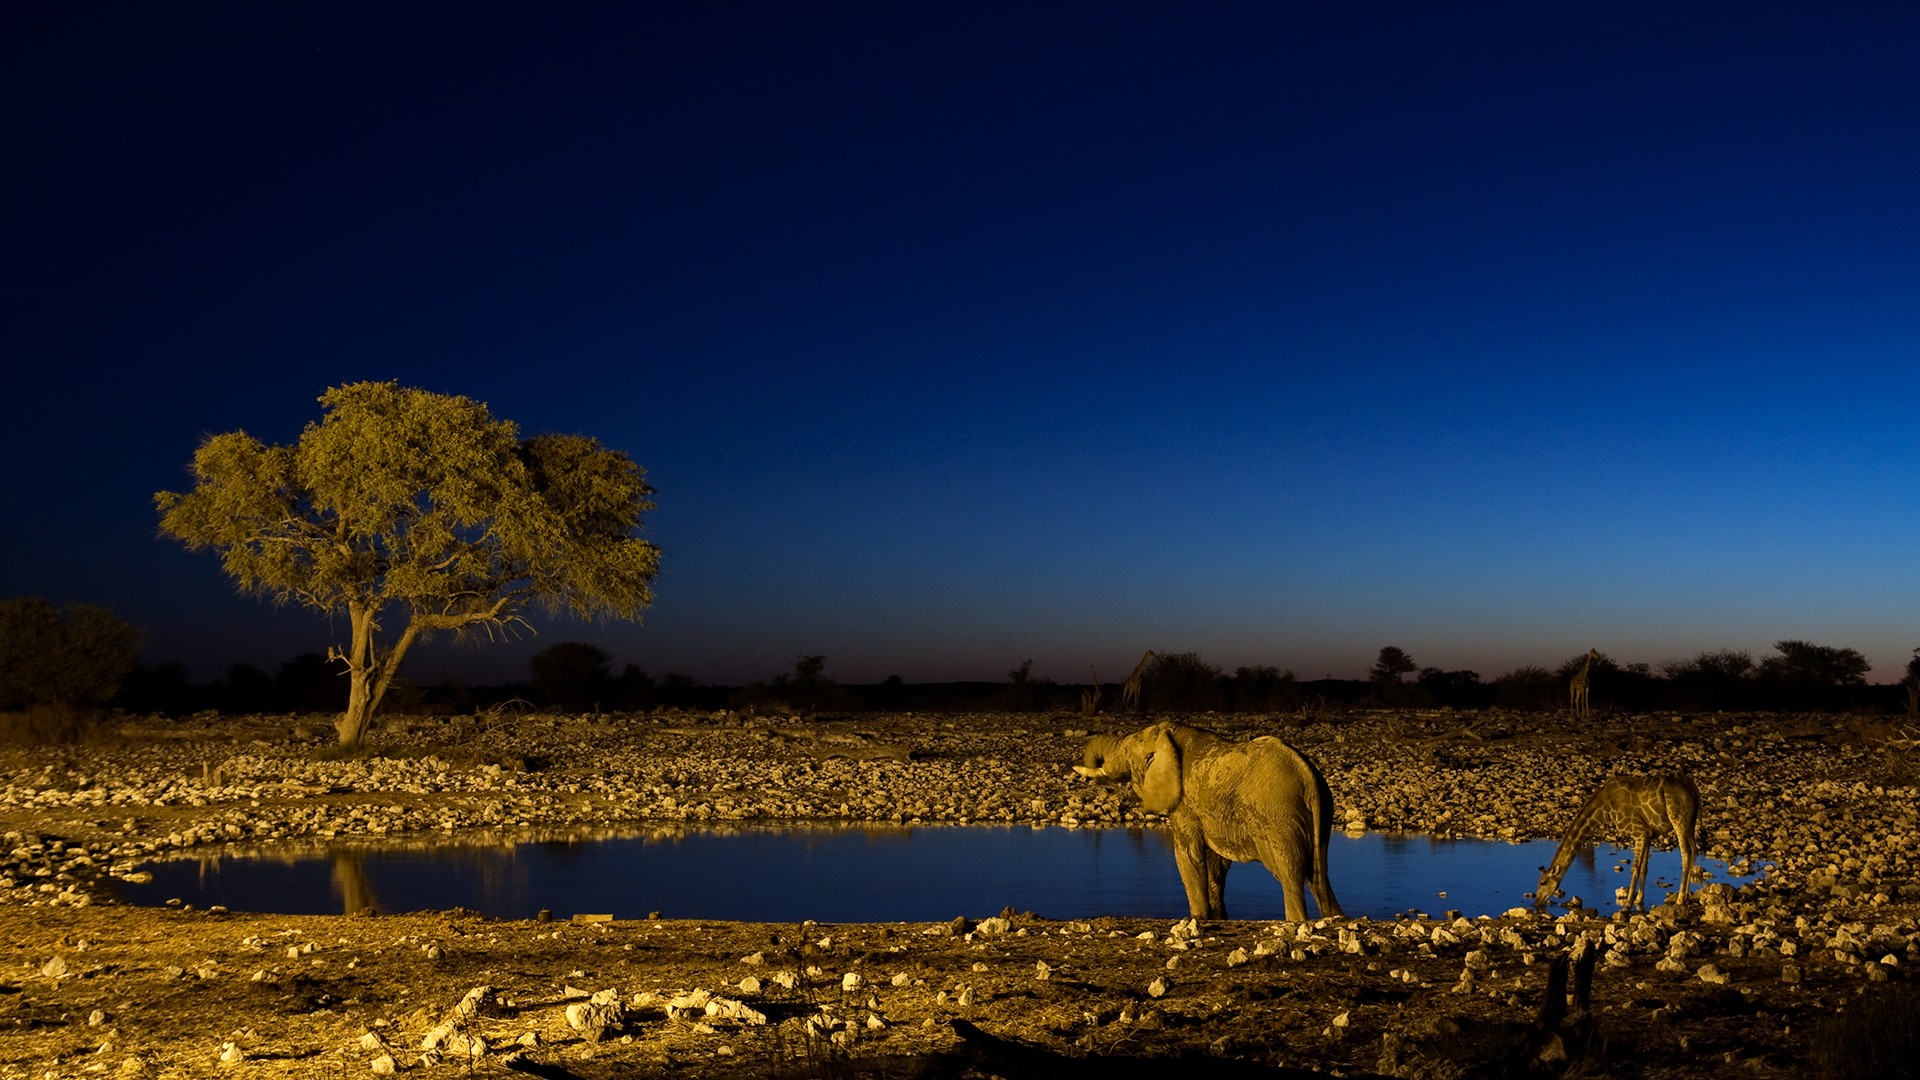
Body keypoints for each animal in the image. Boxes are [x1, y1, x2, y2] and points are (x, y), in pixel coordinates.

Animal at [1075, 718, 1344, 922]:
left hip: (1278, 817)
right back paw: (1334, 918)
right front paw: (1218, 918)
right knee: (1319, 875)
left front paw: (1198, 918)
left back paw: (1297, 921)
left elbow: (1188, 854)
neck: (1167, 734)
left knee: (1290, 873)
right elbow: (1217, 863)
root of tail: (1308, 778)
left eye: (1126, 751)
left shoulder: (1184, 803)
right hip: (1321, 813)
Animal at [1536, 768, 1704, 910]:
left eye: (1542, 882)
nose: (1537, 902)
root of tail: (1694, 789)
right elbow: (1644, 868)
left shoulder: (1639, 831)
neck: (1604, 809)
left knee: (1686, 852)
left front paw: (1628, 904)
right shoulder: (1648, 833)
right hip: (1690, 821)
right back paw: (1686, 897)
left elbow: (1635, 868)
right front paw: (1639, 900)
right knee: (1694, 851)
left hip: (1679, 819)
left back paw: (1680, 899)